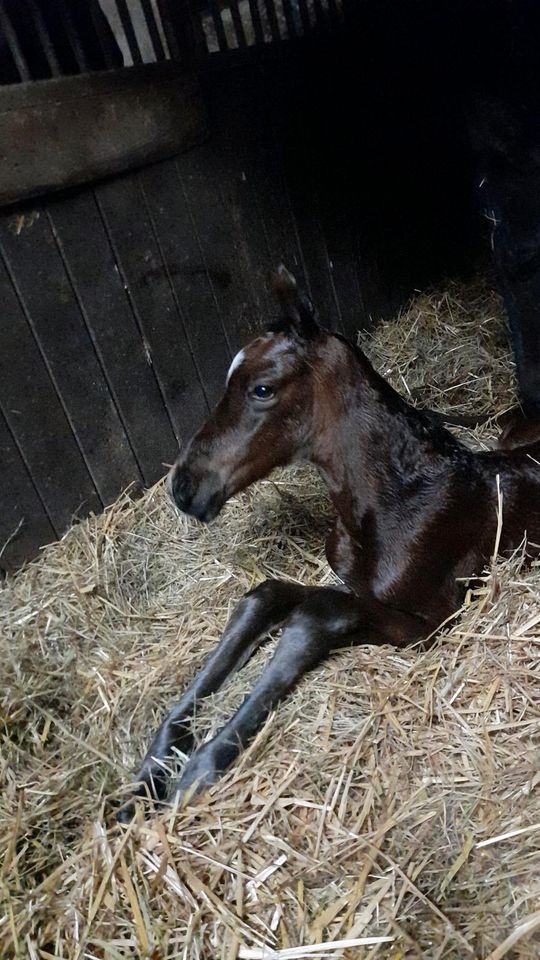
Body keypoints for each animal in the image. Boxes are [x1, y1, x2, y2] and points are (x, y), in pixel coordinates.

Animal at [118, 266, 540, 820]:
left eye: (262, 388)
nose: (183, 487)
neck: (396, 501)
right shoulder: (346, 583)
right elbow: (266, 595)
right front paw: (154, 765)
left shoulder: (431, 621)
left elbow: (318, 614)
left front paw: (201, 765)